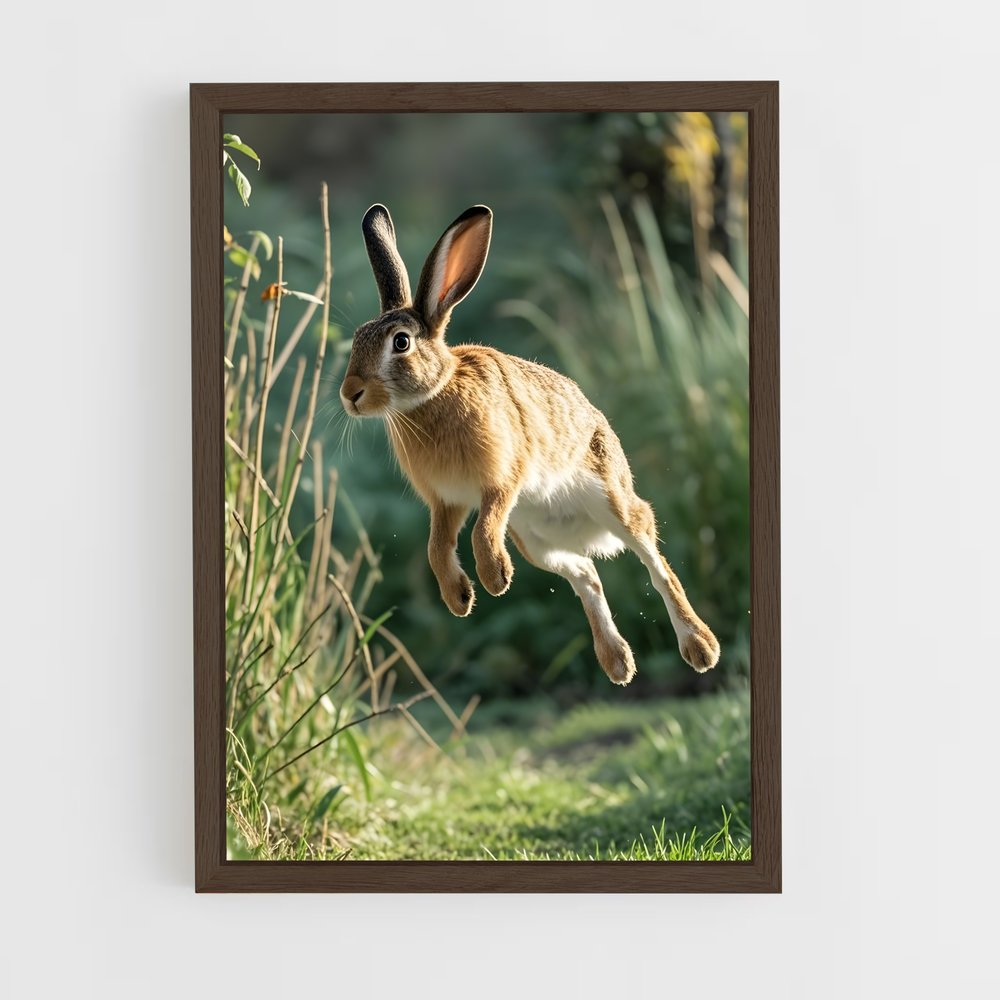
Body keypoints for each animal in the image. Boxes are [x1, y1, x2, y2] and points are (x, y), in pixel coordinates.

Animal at [340, 203, 720, 685]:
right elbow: (435, 549)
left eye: (401, 343)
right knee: (587, 573)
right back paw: (617, 663)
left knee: (655, 563)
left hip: (610, 502)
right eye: (356, 339)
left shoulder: (502, 480)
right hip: (536, 542)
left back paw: (701, 648)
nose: (350, 394)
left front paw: (494, 578)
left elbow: (482, 530)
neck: (435, 394)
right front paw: (459, 599)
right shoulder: (446, 502)